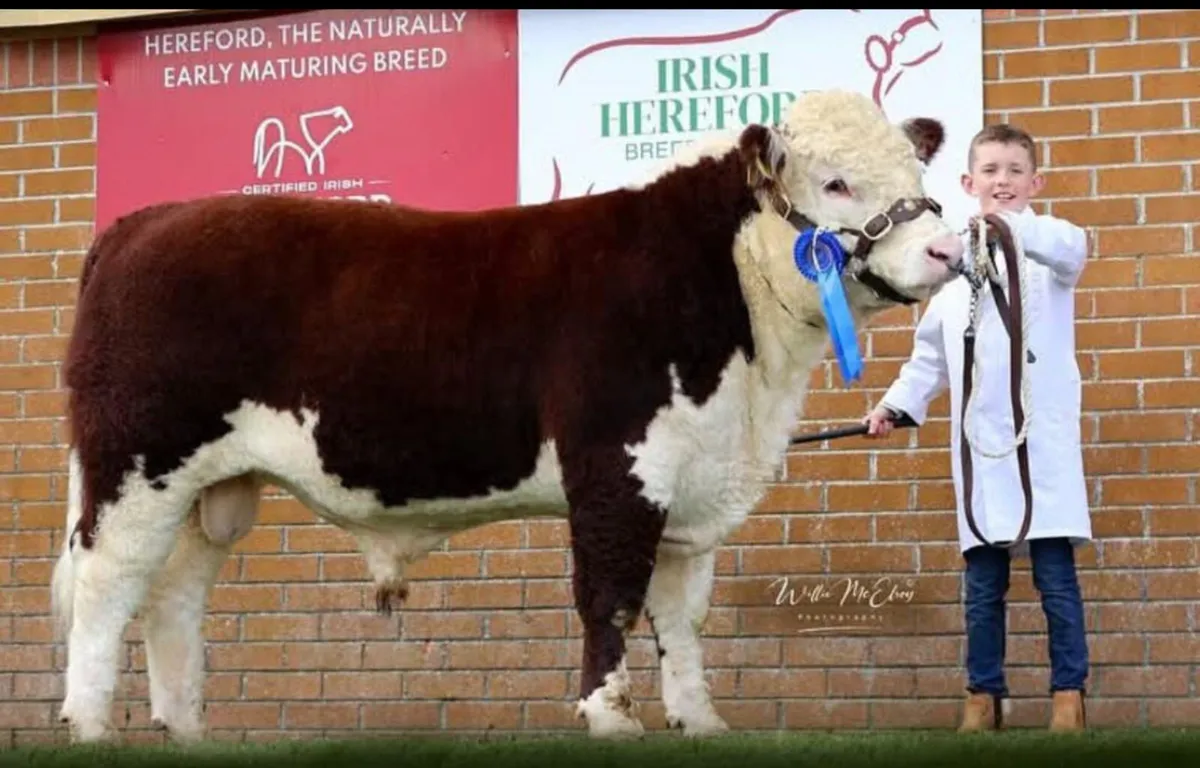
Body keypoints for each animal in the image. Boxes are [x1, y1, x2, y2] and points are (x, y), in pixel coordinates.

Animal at [50, 88, 964, 745]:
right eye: (836, 181)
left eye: (916, 178)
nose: (948, 251)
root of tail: (144, 222)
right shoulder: (617, 465)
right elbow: (611, 595)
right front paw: (610, 716)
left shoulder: (694, 480)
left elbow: (682, 611)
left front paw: (700, 721)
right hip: (136, 461)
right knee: (107, 581)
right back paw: (89, 726)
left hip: (214, 485)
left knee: (173, 592)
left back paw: (186, 731)